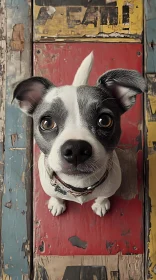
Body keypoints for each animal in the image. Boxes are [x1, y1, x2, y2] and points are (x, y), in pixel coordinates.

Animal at [12, 53, 147, 219]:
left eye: (105, 120)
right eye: (47, 123)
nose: (76, 149)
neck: (79, 185)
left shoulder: (110, 187)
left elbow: (103, 196)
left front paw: (101, 204)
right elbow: (55, 195)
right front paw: (57, 203)